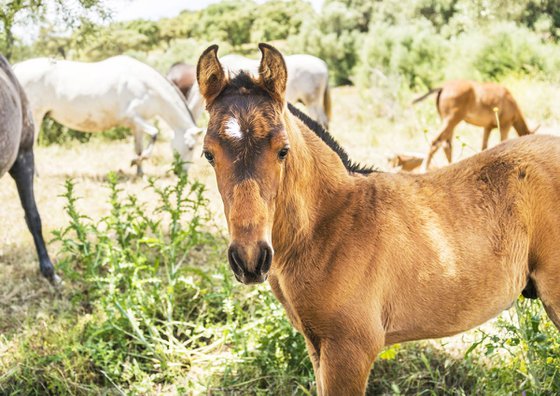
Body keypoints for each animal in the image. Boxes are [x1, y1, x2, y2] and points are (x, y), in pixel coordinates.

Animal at [13, 55, 203, 175]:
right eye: (191, 147)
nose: (181, 174)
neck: (145, 85)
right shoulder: (133, 117)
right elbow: (155, 134)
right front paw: (137, 161)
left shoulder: (137, 125)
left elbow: (139, 147)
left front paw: (139, 169)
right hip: (35, 116)